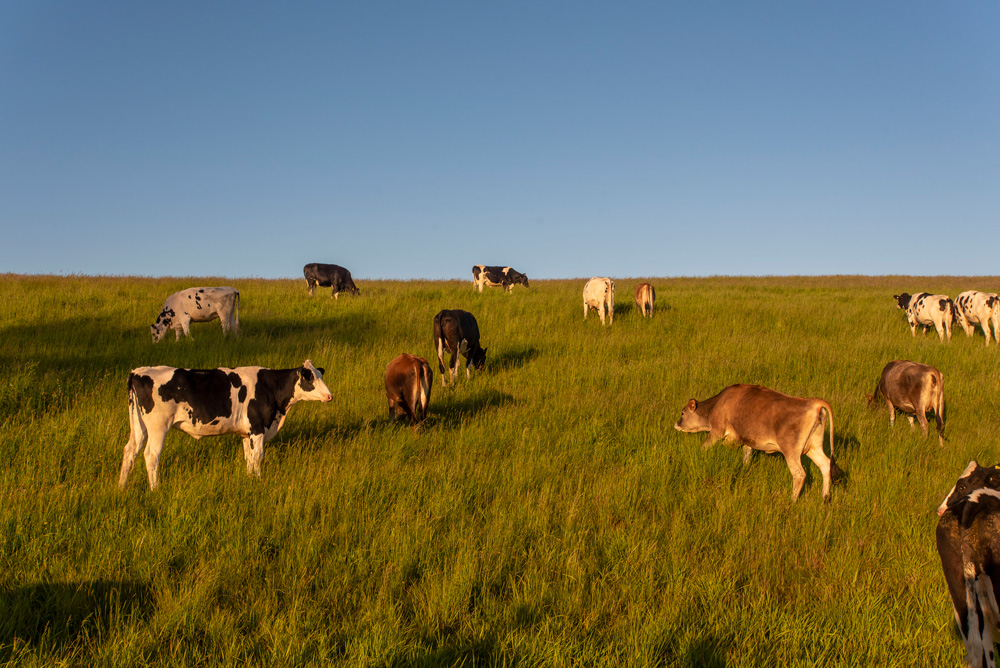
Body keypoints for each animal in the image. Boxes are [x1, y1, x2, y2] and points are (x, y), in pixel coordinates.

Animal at [119, 360, 333, 490]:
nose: (330, 396)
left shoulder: (247, 433)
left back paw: (122, 486)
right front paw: (259, 481)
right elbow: (258, 456)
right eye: (310, 378)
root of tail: (138, 371)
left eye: (320, 375)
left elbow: (249, 458)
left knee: (130, 450)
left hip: (139, 425)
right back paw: (156, 489)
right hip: (158, 426)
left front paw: (250, 480)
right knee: (151, 455)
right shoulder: (257, 428)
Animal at [673, 384, 841, 502]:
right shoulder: (748, 439)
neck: (717, 404)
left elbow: (705, 447)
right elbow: (747, 455)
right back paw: (825, 497)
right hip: (814, 447)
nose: (676, 424)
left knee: (799, 474)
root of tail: (813, 403)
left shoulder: (717, 431)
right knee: (825, 465)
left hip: (791, 451)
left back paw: (792, 501)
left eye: (682, 413)